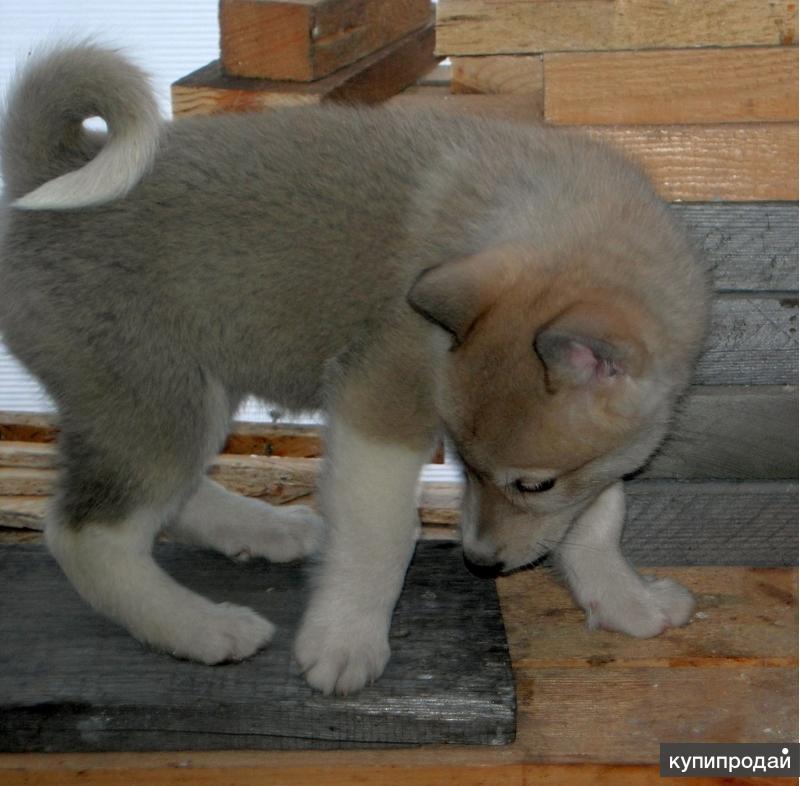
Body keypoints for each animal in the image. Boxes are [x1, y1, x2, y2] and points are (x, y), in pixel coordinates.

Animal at [3, 44, 708, 692]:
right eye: (461, 461)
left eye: (532, 484)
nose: (479, 563)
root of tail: (56, 169)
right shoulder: (380, 404)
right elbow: (383, 534)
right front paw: (344, 641)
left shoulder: (595, 463)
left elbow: (598, 517)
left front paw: (625, 600)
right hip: (156, 393)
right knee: (88, 535)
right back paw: (201, 628)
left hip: (188, 394)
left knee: (172, 495)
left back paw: (264, 529)